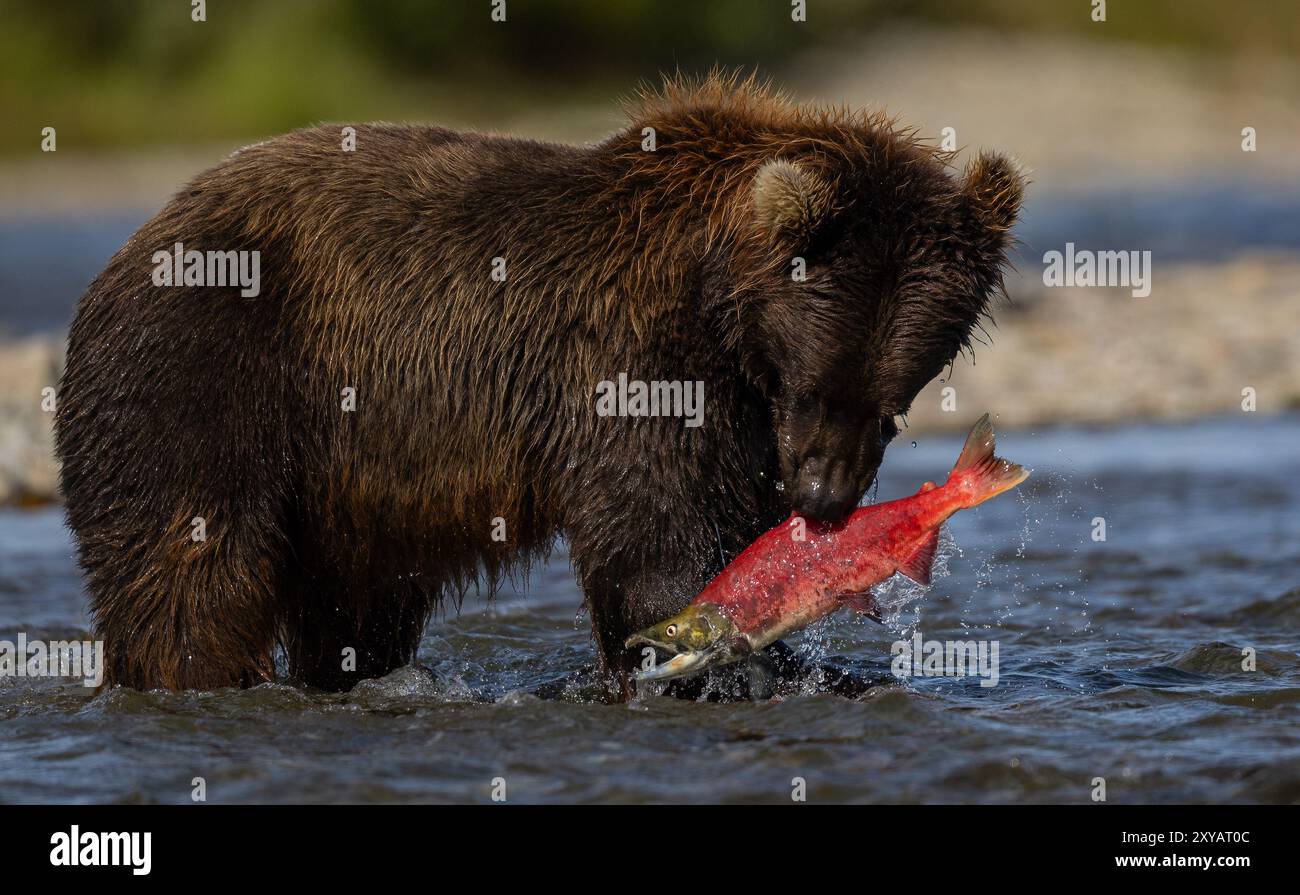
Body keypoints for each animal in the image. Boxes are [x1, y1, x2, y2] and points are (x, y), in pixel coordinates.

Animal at [55, 71, 1019, 697]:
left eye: (893, 404)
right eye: (817, 386)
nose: (823, 499)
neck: (722, 312)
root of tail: (123, 253)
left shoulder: (738, 415)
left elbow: (730, 521)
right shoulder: (632, 361)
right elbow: (653, 539)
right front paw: (701, 659)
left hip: (351, 481)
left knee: (360, 605)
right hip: (206, 371)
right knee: (192, 569)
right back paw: (194, 678)